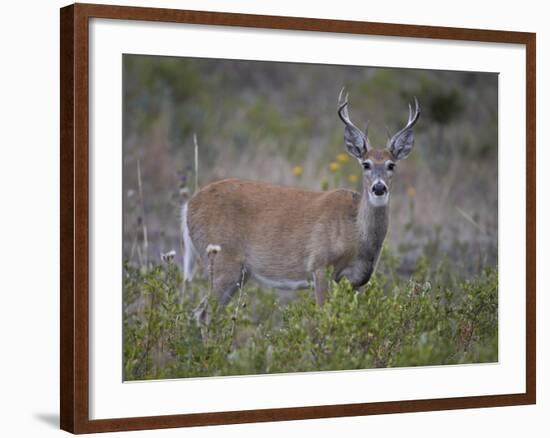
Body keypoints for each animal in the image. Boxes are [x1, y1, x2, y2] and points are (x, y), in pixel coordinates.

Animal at [183, 90, 420, 314]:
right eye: (366, 164)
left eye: (391, 165)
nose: (379, 187)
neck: (355, 233)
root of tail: (188, 205)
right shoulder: (320, 265)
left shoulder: (358, 279)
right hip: (221, 260)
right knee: (202, 312)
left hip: (239, 272)